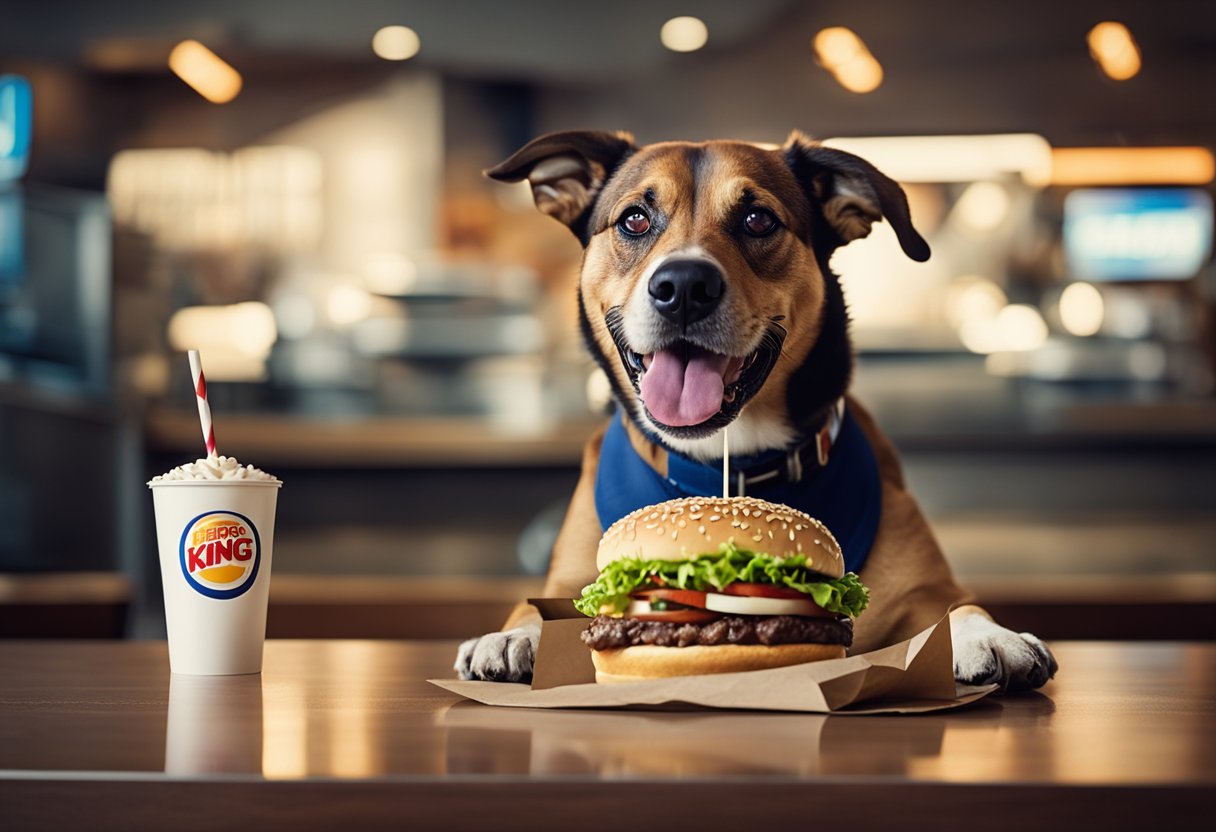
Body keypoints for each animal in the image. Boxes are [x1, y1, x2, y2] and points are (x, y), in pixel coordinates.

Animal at [454, 130, 1055, 690]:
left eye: (758, 219)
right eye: (634, 219)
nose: (684, 286)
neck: (727, 461)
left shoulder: (929, 588)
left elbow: (956, 606)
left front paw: (989, 635)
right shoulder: (568, 580)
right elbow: (536, 605)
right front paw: (511, 635)